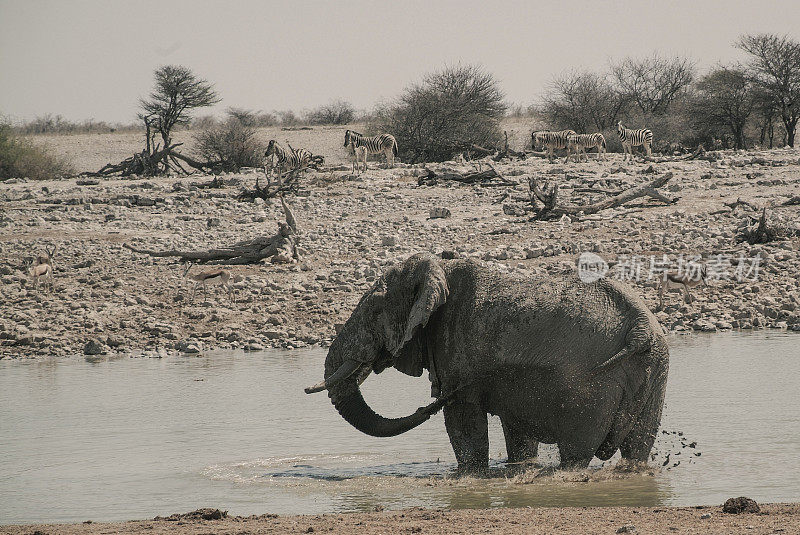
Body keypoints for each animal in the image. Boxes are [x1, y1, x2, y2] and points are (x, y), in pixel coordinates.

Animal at [306, 254, 668, 474]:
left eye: (374, 310)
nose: (426, 406)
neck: (440, 271)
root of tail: (641, 328)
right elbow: (516, 430)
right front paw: (518, 469)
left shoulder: (457, 348)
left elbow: (462, 417)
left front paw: (468, 475)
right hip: (656, 370)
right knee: (638, 445)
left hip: (594, 385)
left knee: (576, 451)